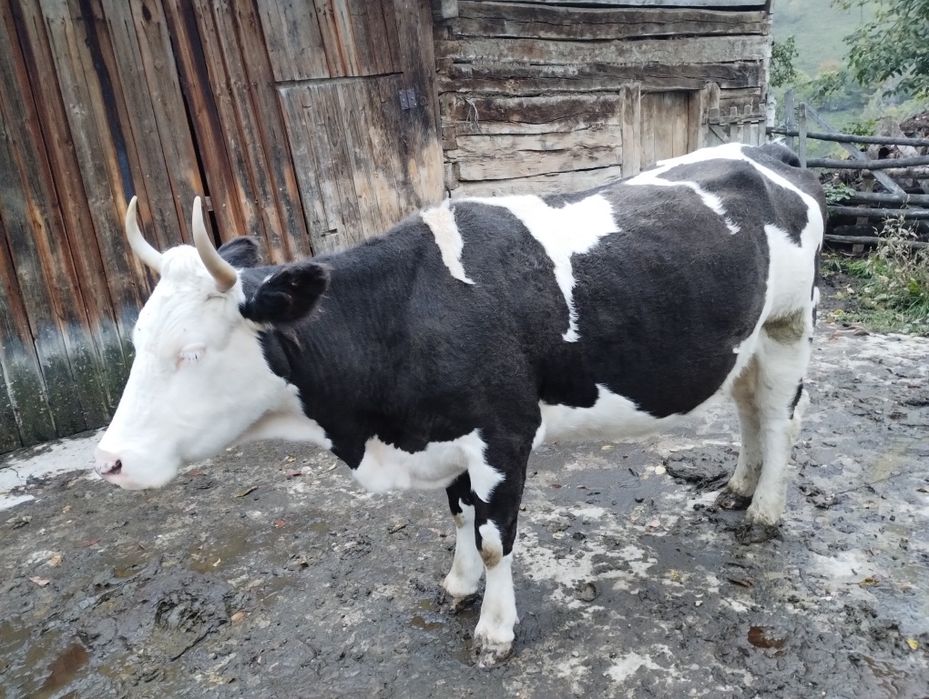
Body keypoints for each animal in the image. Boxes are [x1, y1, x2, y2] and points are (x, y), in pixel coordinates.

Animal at [95, 142, 825, 666]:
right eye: (137, 338)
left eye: (192, 352)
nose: (108, 461)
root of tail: (766, 150)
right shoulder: (446, 434)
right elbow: (457, 516)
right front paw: (456, 585)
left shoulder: (504, 433)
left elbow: (496, 539)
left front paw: (495, 629)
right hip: (744, 342)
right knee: (747, 408)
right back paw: (735, 488)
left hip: (790, 326)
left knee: (781, 419)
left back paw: (763, 511)